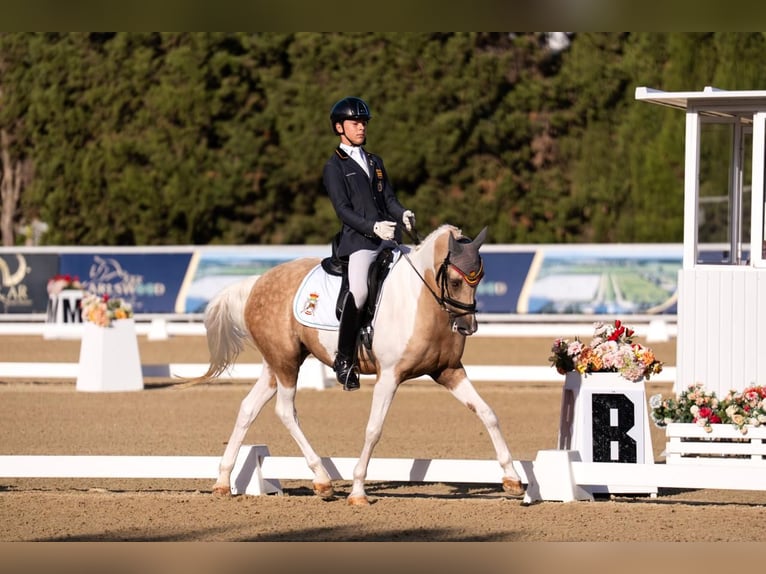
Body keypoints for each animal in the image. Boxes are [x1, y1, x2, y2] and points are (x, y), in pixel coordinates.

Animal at [188, 224, 525, 505]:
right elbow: (374, 429)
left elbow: (488, 413)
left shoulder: (448, 371)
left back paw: (222, 482)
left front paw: (512, 480)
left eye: (480, 278)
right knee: (285, 411)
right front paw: (359, 491)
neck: (423, 302)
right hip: (285, 364)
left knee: (248, 408)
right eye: (454, 281)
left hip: (278, 363)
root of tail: (258, 281)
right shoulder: (389, 376)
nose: (468, 327)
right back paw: (322, 481)